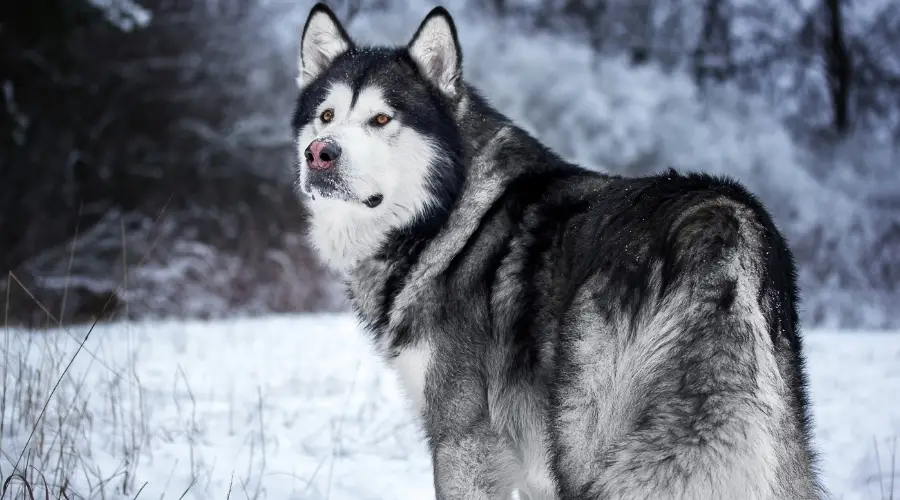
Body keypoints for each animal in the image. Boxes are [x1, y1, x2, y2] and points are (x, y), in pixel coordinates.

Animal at [292, 2, 828, 496]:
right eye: (326, 116)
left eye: (381, 118)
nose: (320, 152)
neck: (448, 214)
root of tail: (719, 220)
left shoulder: (465, 442)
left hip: (583, 443)